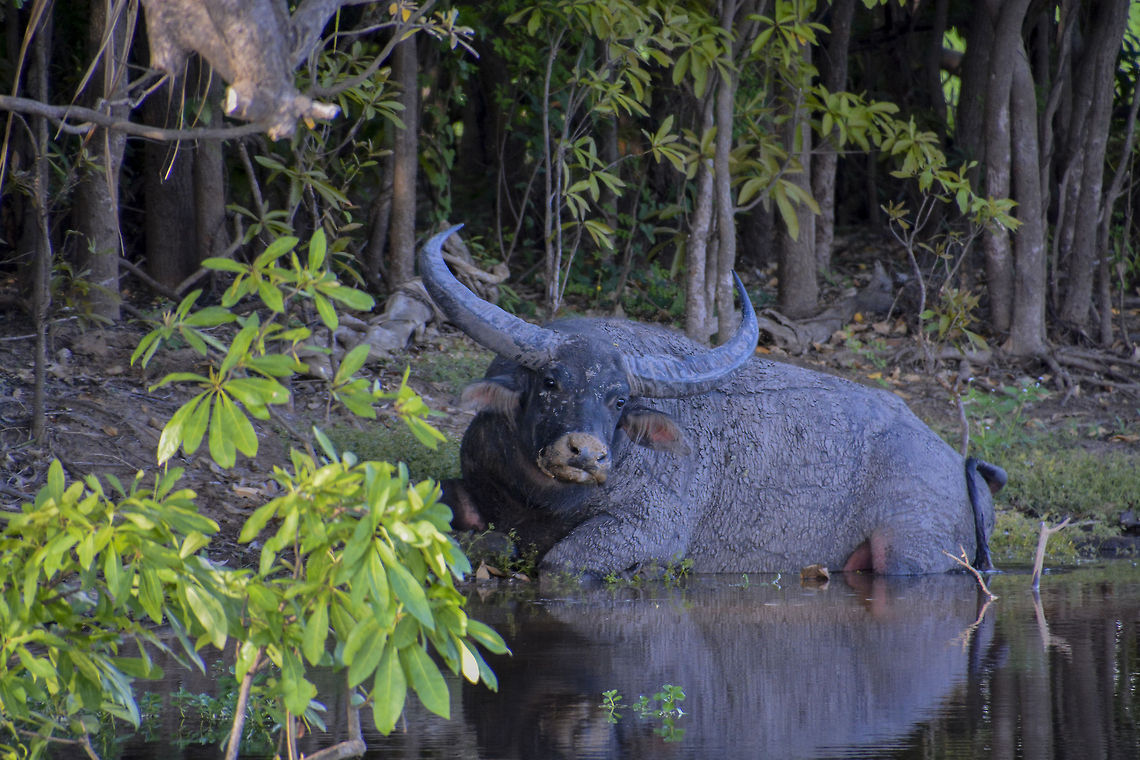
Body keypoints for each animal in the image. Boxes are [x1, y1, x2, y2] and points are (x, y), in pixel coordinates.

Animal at [421, 227, 1005, 576]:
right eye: (550, 382)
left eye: (618, 399)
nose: (585, 454)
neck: (543, 499)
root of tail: (952, 459)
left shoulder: (648, 527)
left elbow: (560, 563)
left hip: (906, 553)